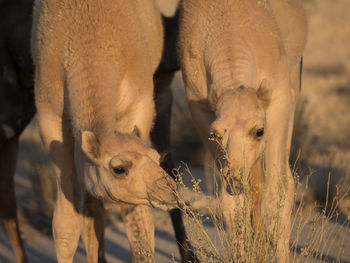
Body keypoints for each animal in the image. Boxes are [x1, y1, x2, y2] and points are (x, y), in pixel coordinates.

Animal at [30, 0, 178, 262]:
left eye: (156, 157)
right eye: (119, 168)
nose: (169, 191)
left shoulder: (139, 105)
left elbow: (139, 225)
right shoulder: (51, 118)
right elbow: (66, 225)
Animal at [179, 0, 308, 262]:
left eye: (259, 131)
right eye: (216, 133)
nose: (234, 177)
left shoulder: (278, 99)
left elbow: (276, 195)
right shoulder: (199, 108)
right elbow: (233, 206)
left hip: (293, 83)